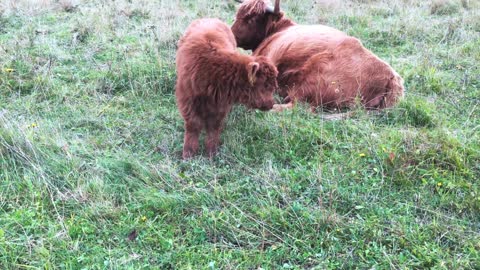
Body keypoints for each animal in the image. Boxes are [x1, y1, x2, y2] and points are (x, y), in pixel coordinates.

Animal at [175, 18, 278, 158]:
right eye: (266, 85)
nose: (271, 104)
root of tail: (210, 19)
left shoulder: (221, 104)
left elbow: (214, 127)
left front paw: (212, 152)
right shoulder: (187, 100)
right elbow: (193, 124)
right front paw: (188, 153)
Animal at [231, 0, 404, 110]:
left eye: (251, 19)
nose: (231, 33)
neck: (278, 30)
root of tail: (391, 77)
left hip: (312, 81)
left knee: (295, 107)